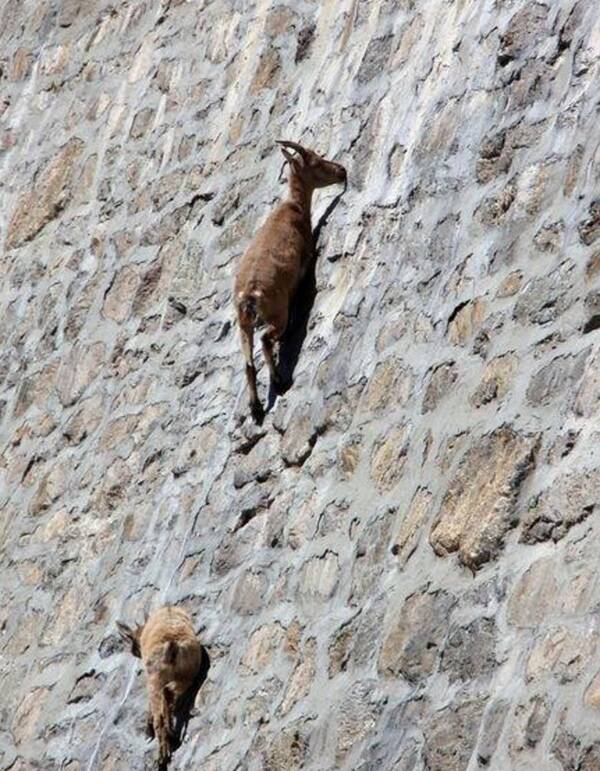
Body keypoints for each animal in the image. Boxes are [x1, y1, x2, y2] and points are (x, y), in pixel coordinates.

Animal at [117, 608, 204, 764]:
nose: (133, 651)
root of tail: (173, 645)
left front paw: (148, 731)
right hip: (187, 674)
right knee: (170, 692)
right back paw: (173, 733)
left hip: (157, 678)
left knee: (160, 711)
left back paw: (164, 751)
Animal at [234, 142, 346, 426]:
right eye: (316, 161)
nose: (342, 170)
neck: (294, 207)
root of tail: (249, 296)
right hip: (276, 312)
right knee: (266, 339)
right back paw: (279, 381)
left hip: (243, 326)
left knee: (248, 363)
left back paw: (256, 409)